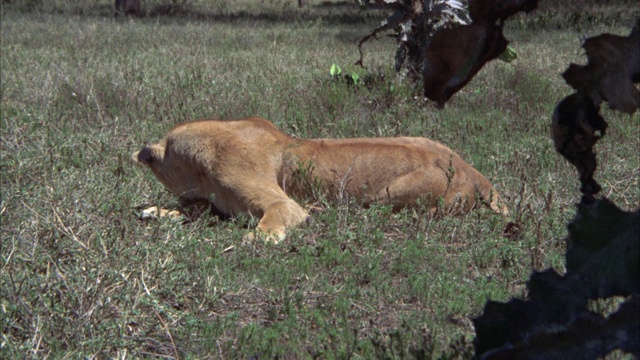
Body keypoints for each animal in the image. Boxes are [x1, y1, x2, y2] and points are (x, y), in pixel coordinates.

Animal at [132, 116, 508, 243]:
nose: (143, 152)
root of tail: (475, 173)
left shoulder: (282, 205)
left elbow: (266, 227)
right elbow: (191, 211)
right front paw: (155, 211)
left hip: (386, 196)